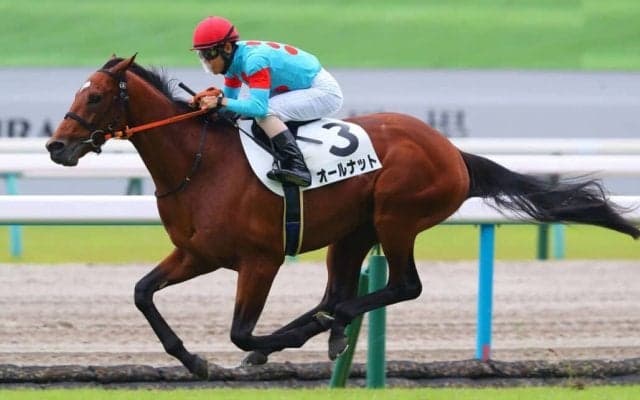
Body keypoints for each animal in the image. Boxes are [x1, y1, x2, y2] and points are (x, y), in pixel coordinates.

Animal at [46, 55, 640, 378]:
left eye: (95, 97)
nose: (56, 147)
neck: (200, 162)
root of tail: (452, 152)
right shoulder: (197, 252)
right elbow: (143, 293)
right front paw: (193, 361)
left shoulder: (260, 260)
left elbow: (243, 333)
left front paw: (259, 349)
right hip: (353, 232)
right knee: (341, 289)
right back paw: (328, 327)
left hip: (398, 216)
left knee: (401, 286)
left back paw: (322, 327)